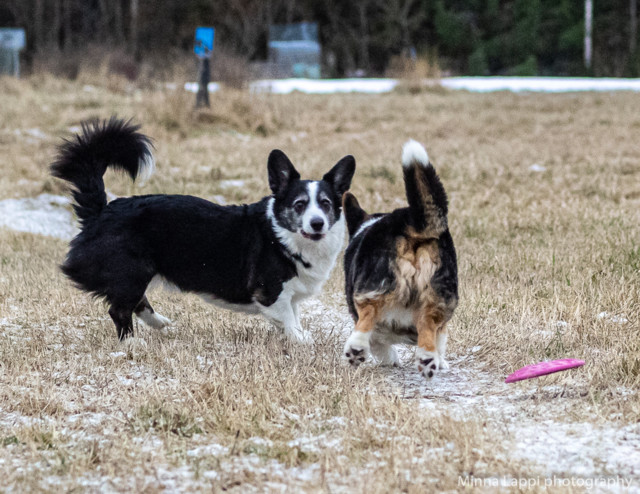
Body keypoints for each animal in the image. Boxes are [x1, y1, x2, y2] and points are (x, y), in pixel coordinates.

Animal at [52, 117, 356, 346]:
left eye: (326, 204)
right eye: (299, 204)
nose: (317, 223)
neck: (283, 236)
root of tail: (101, 211)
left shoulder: (291, 296)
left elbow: (294, 315)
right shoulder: (271, 293)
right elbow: (288, 320)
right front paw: (301, 340)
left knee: (134, 302)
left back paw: (160, 323)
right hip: (133, 270)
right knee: (119, 308)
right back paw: (132, 343)